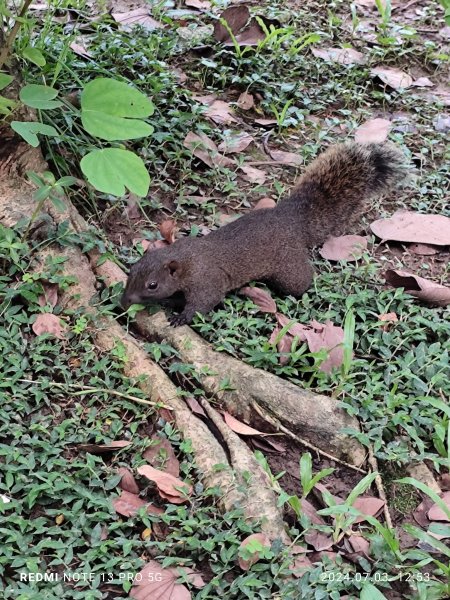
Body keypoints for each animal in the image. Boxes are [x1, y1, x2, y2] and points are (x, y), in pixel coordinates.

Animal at [121, 142, 406, 326]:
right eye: (131, 272)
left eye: (152, 285)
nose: (124, 302)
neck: (187, 259)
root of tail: (291, 218)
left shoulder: (207, 281)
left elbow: (204, 302)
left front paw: (182, 317)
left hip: (289, 268)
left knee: (301, 281)